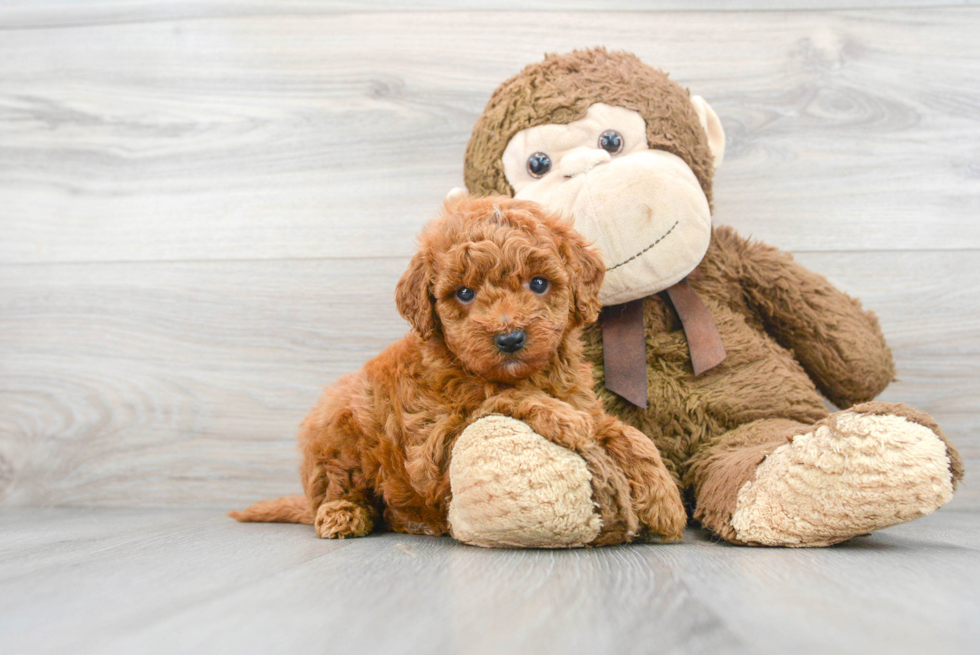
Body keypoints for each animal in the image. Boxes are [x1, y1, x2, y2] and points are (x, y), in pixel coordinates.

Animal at [233, 195, 684, 544]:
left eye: (539, 284)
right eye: (464, 293)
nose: (509, 337)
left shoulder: (585, 401)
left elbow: (629, 434)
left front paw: (665, 499)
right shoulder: (430, 447)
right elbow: (501, 398)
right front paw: (560, 418)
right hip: (335, 428)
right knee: (335, 488)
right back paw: (345, 513)